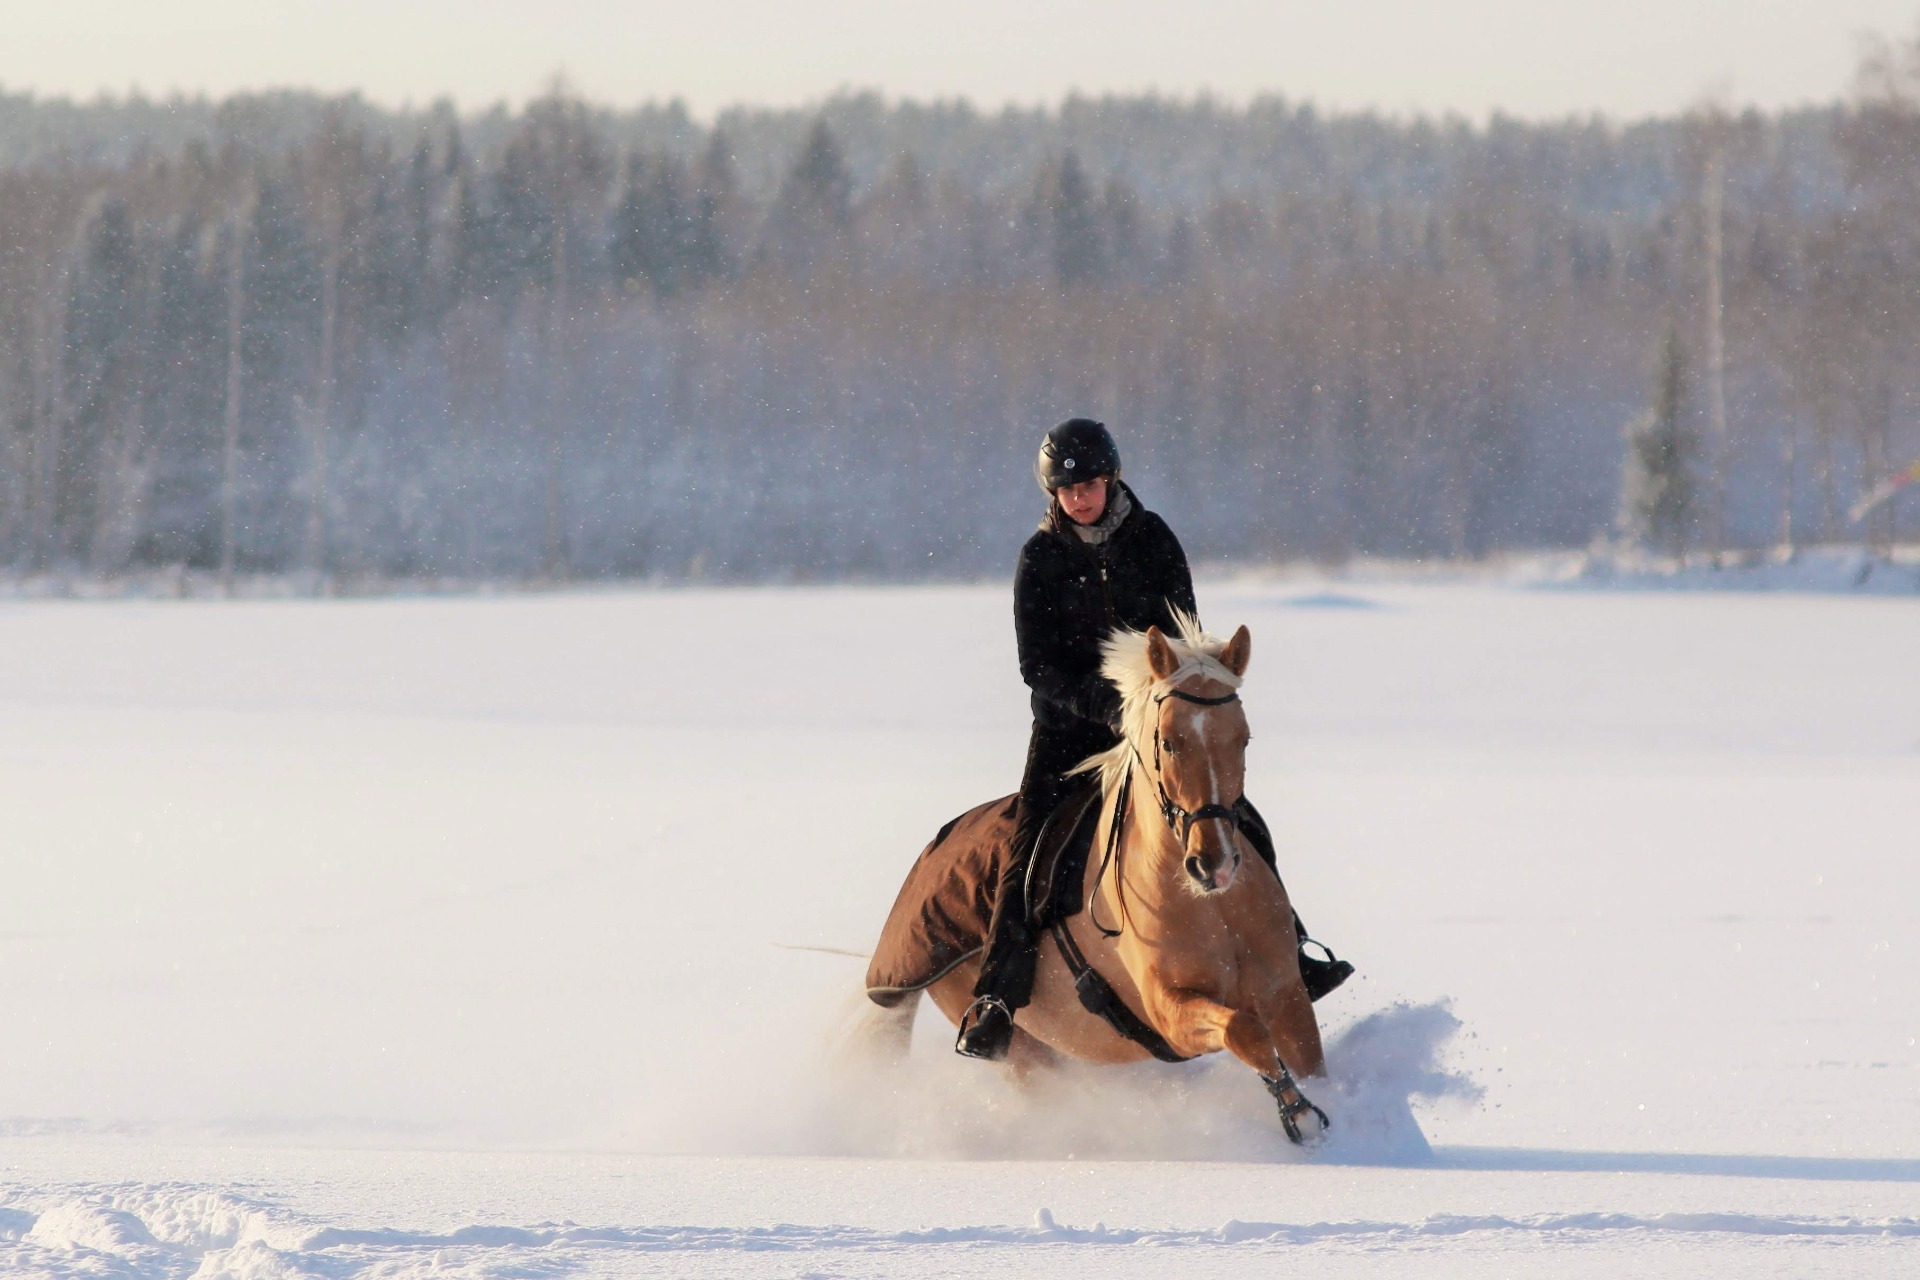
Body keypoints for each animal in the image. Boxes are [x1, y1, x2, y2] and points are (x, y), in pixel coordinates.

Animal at [864, 615, 1330, 1143]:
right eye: (1168, 742)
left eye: (1243, 739)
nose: (1214, 864)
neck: (1211, 905)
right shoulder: (1170, 1012)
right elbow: (1244, 1031)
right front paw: (1300, 1113)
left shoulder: (1287, 994)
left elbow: (1300, 1054)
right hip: (1024, 1054)